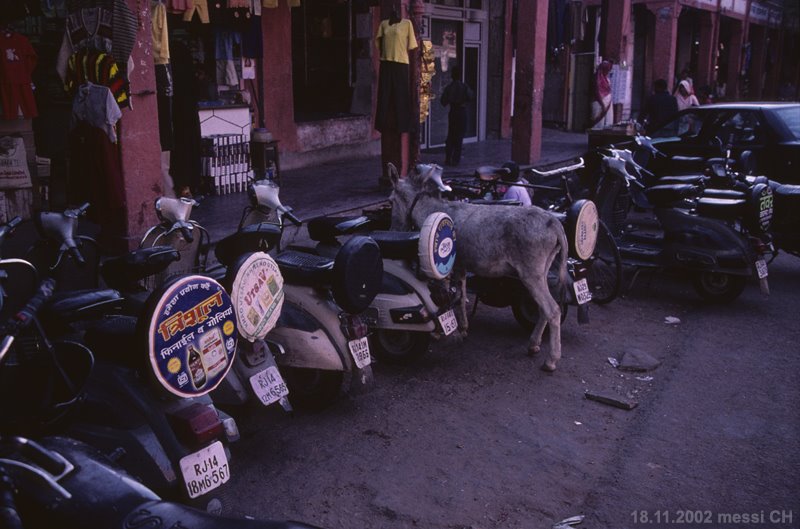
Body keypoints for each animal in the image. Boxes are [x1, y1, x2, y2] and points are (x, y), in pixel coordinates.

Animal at [388, 163, 568, 370]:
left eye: (390, 201)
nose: (393, 230)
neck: (429, 210)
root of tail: (553, 222)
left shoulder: (442, 268)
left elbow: (442, 299)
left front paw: (439, 332)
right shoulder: (460, 266)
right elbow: (460, 296)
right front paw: (463, 329)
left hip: (531, 273)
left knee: (553, 310)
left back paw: (551, 360)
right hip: (542, 270)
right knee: (544, 309)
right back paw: (533, 345)